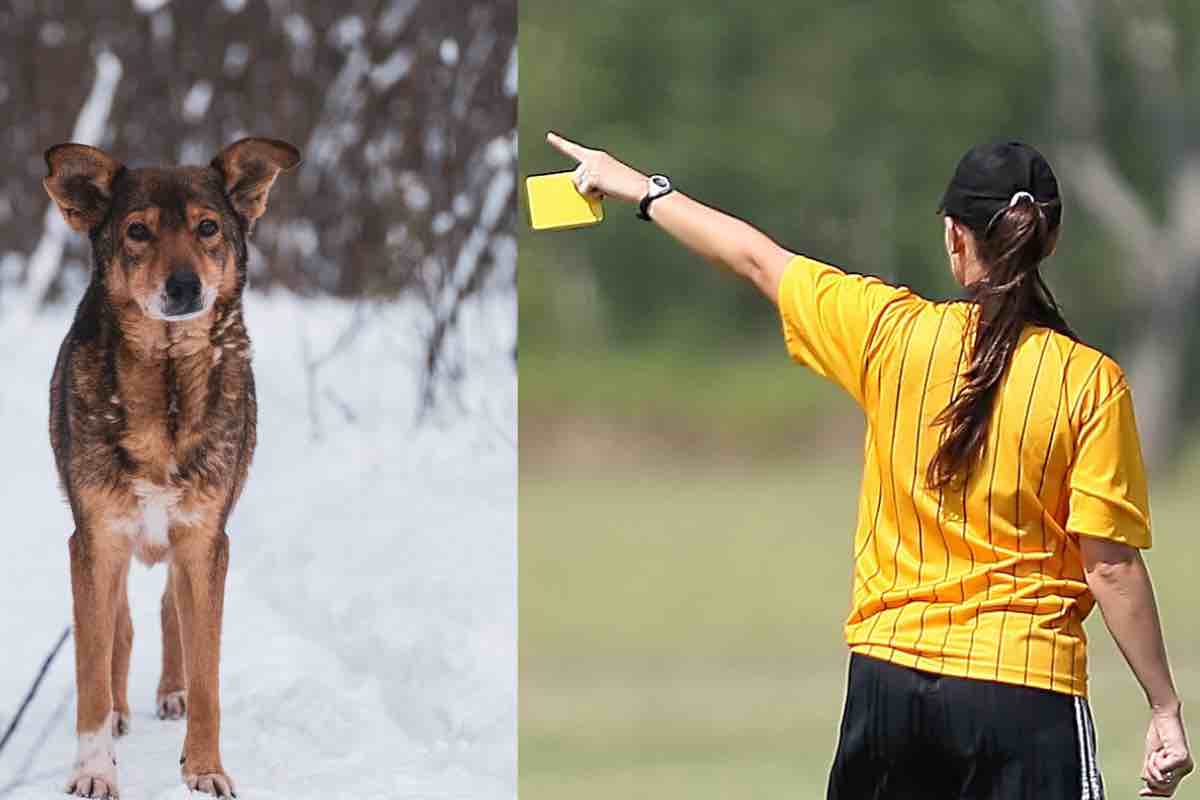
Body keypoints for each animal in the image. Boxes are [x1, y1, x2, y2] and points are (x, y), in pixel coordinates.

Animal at [46, 136, 300, 796]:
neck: (165, 388)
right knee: (120, 625)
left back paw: (171, 694)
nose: (184, 286)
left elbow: (206, 666)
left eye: (208, 228)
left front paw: (205, 767)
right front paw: (94, 770)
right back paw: (122, 712)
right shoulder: (95, 538)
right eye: (137, 231)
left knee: (168, 613)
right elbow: (91, 672)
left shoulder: (205, 538)